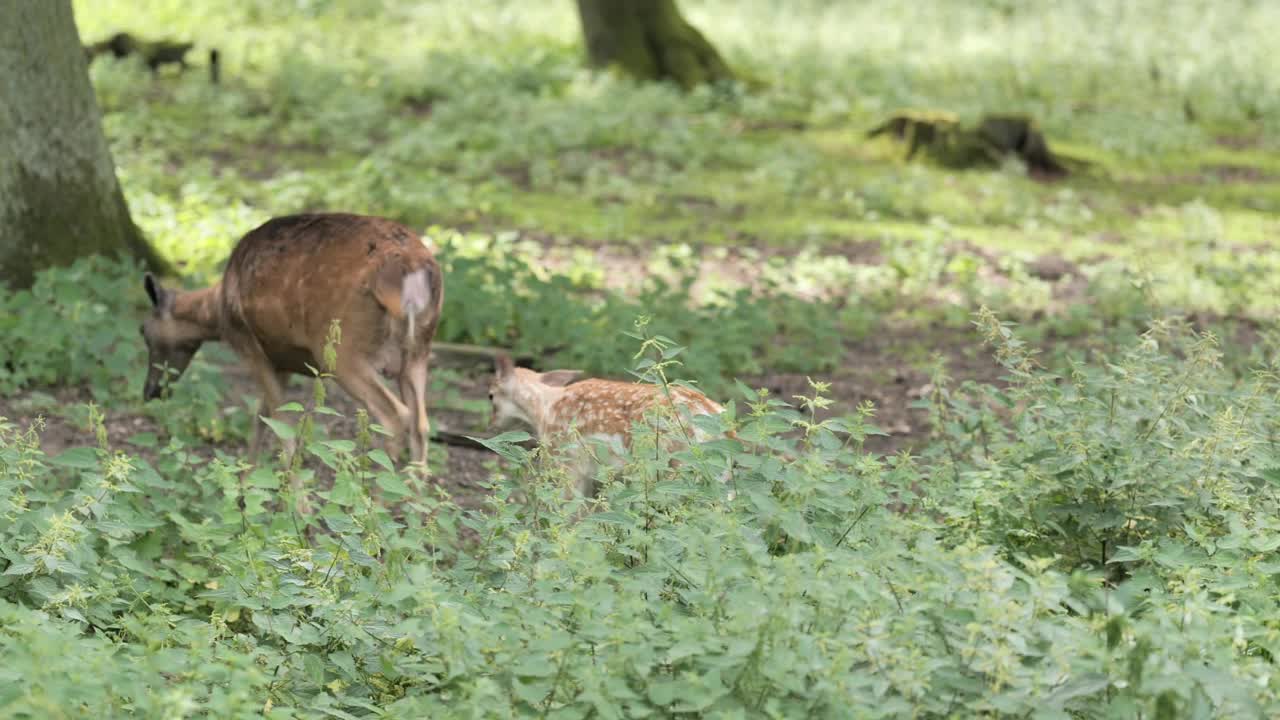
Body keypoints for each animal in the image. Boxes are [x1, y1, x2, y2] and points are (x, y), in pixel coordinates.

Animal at [141, 211, 445, 466]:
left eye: (144, 332)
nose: (149, 391)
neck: (217, 309)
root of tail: (413, 272)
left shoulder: (248, 345)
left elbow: (280, 426)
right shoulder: (282, 359)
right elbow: (261, 419)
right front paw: (245, 485)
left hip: (342, 349)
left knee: (396, 417)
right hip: (418, 351)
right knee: (422, 425)